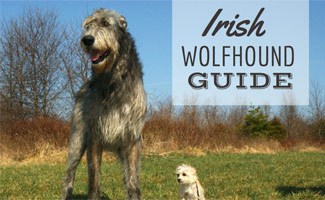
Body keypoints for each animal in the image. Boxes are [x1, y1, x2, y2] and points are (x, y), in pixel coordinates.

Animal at [62, 8, 146, 199]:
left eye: (106, 23)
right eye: (88, 26)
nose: (87, 39)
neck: (112, 80)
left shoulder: (132, 139)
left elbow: (133, 182)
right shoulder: (94, 137)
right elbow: (94, 181)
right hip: (77, 141)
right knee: (69, 176)